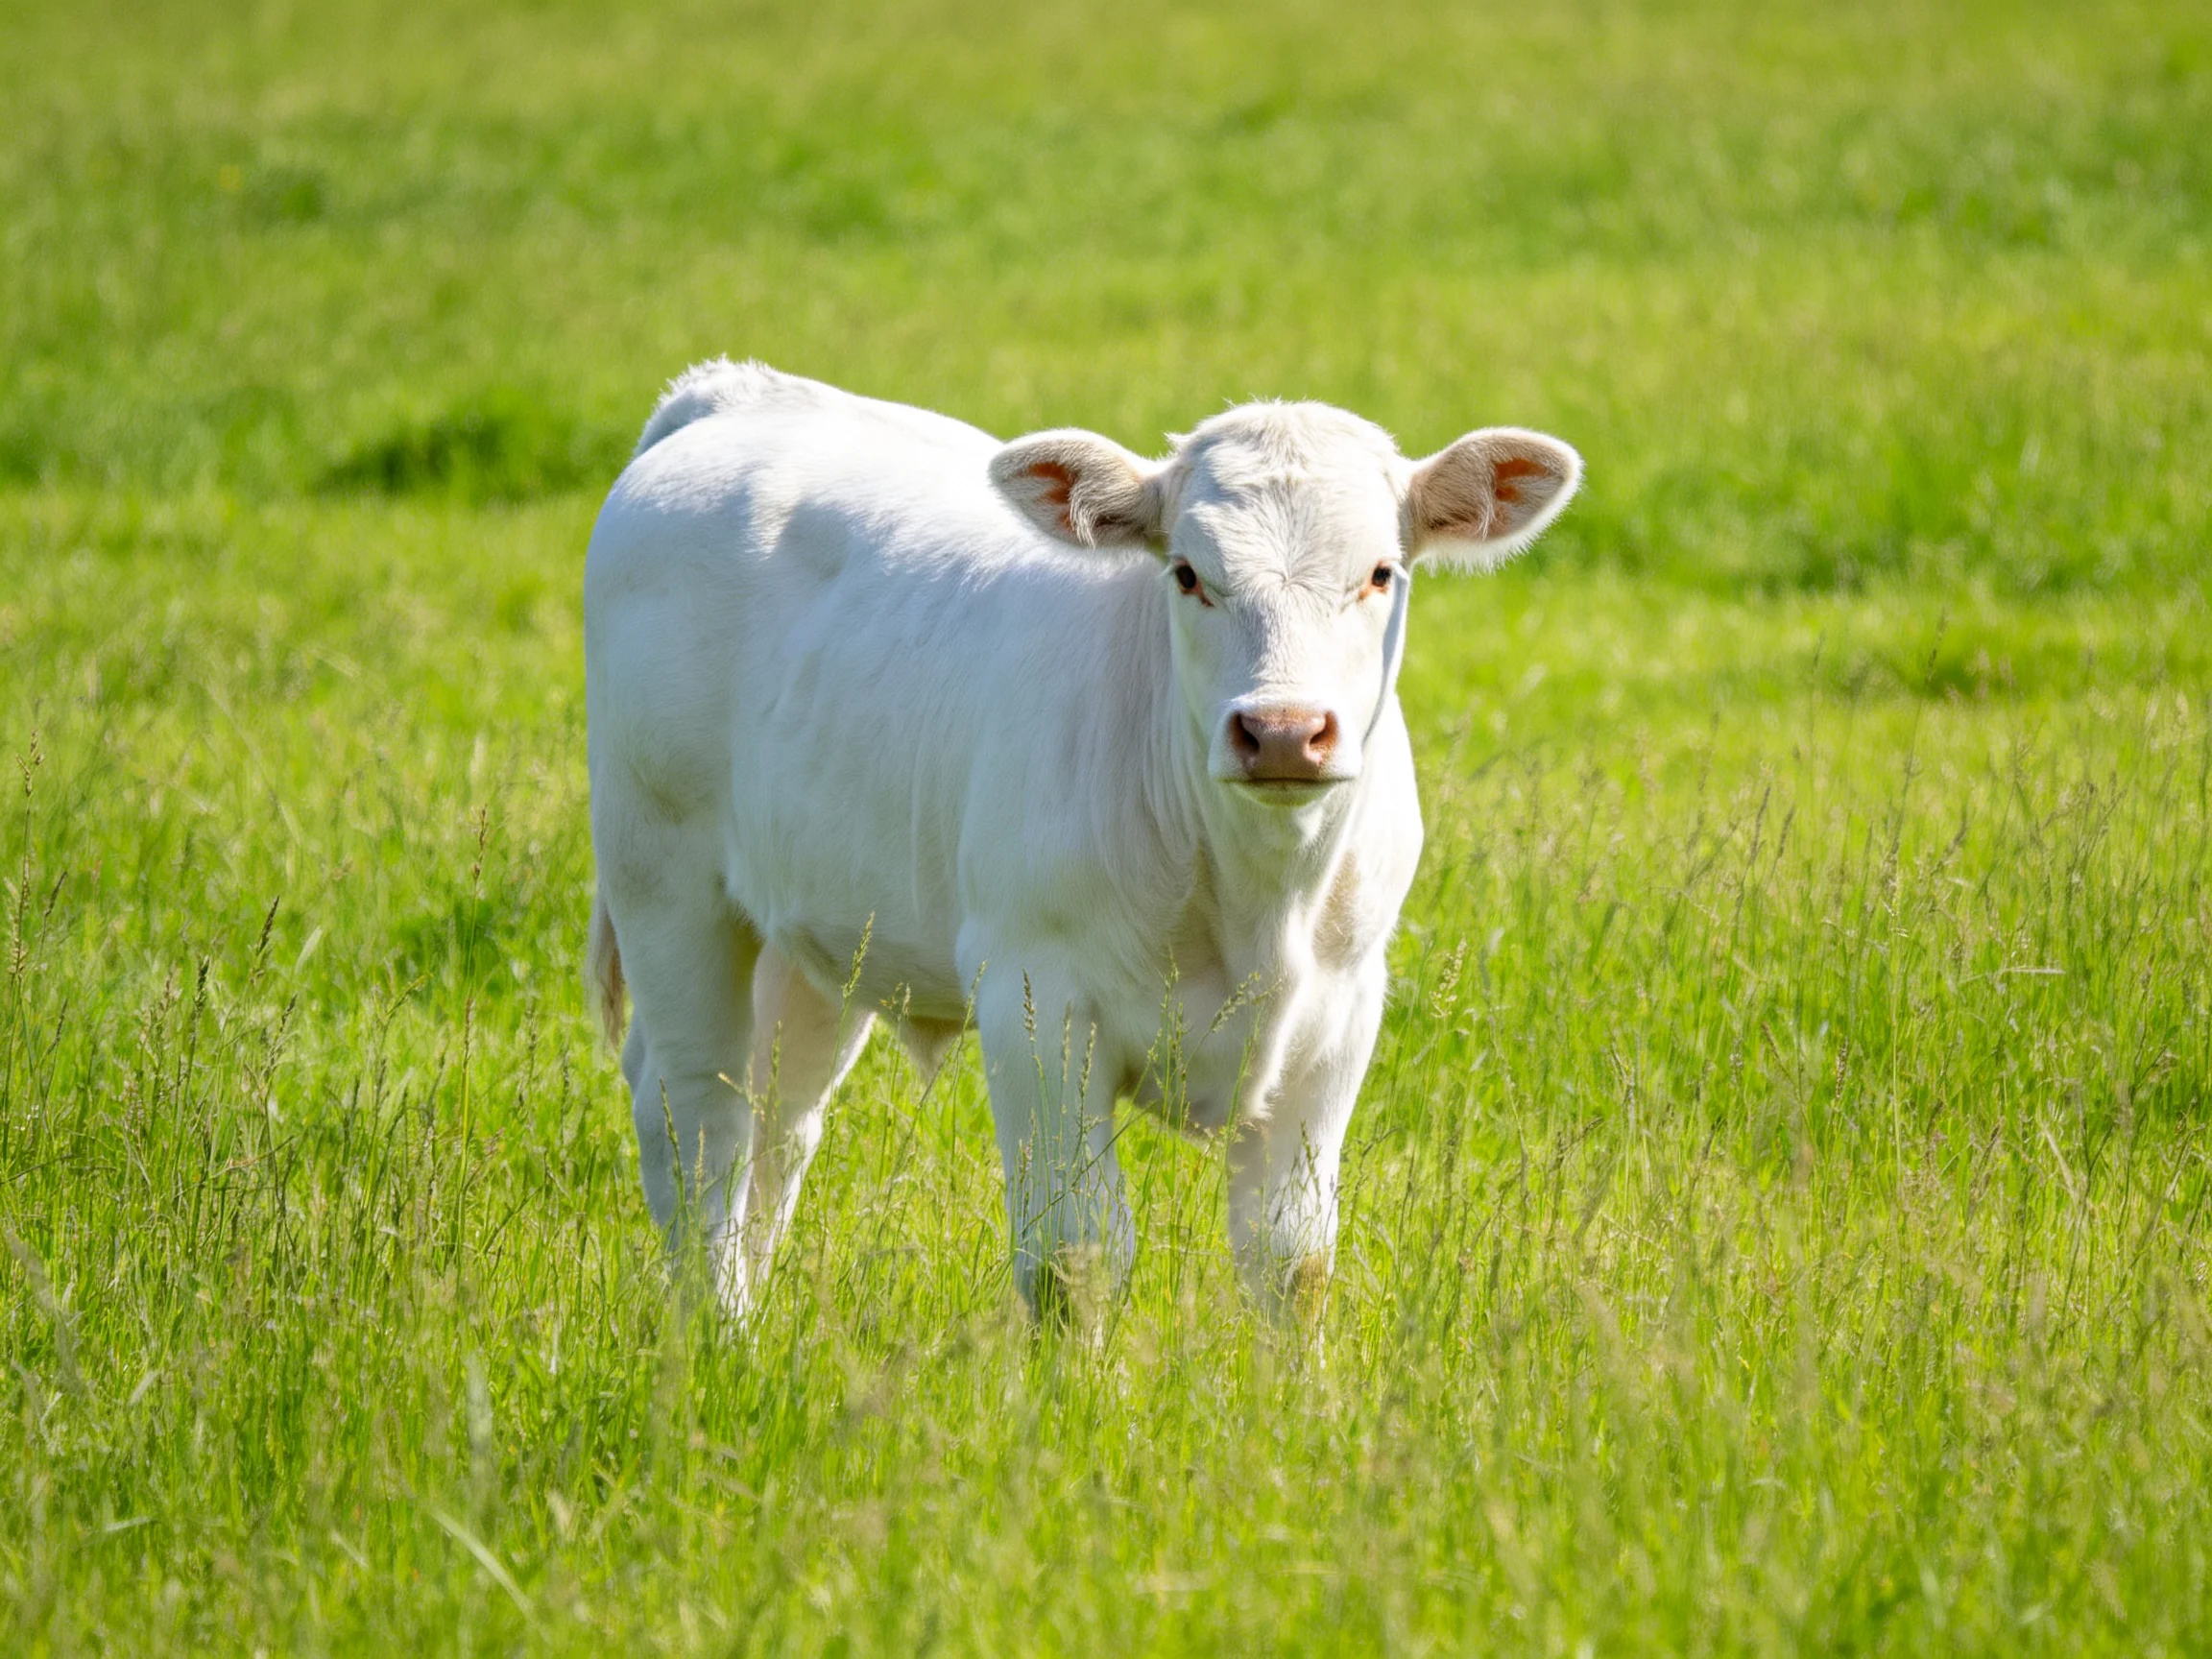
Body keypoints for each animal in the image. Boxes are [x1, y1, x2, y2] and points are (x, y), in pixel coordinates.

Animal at [583, 360, 1579, 1325]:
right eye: (1187, 574)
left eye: (1380, 573)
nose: (1284, 732)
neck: (1257, 903)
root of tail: (737, 392)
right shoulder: (1037, 1002)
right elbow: (1078, 1257)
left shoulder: (1340, 1014)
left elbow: (1292, 1262)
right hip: (664, 878)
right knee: (697, 1114)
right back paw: (718, 1333)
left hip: (813, 931)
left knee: (778, 1117)